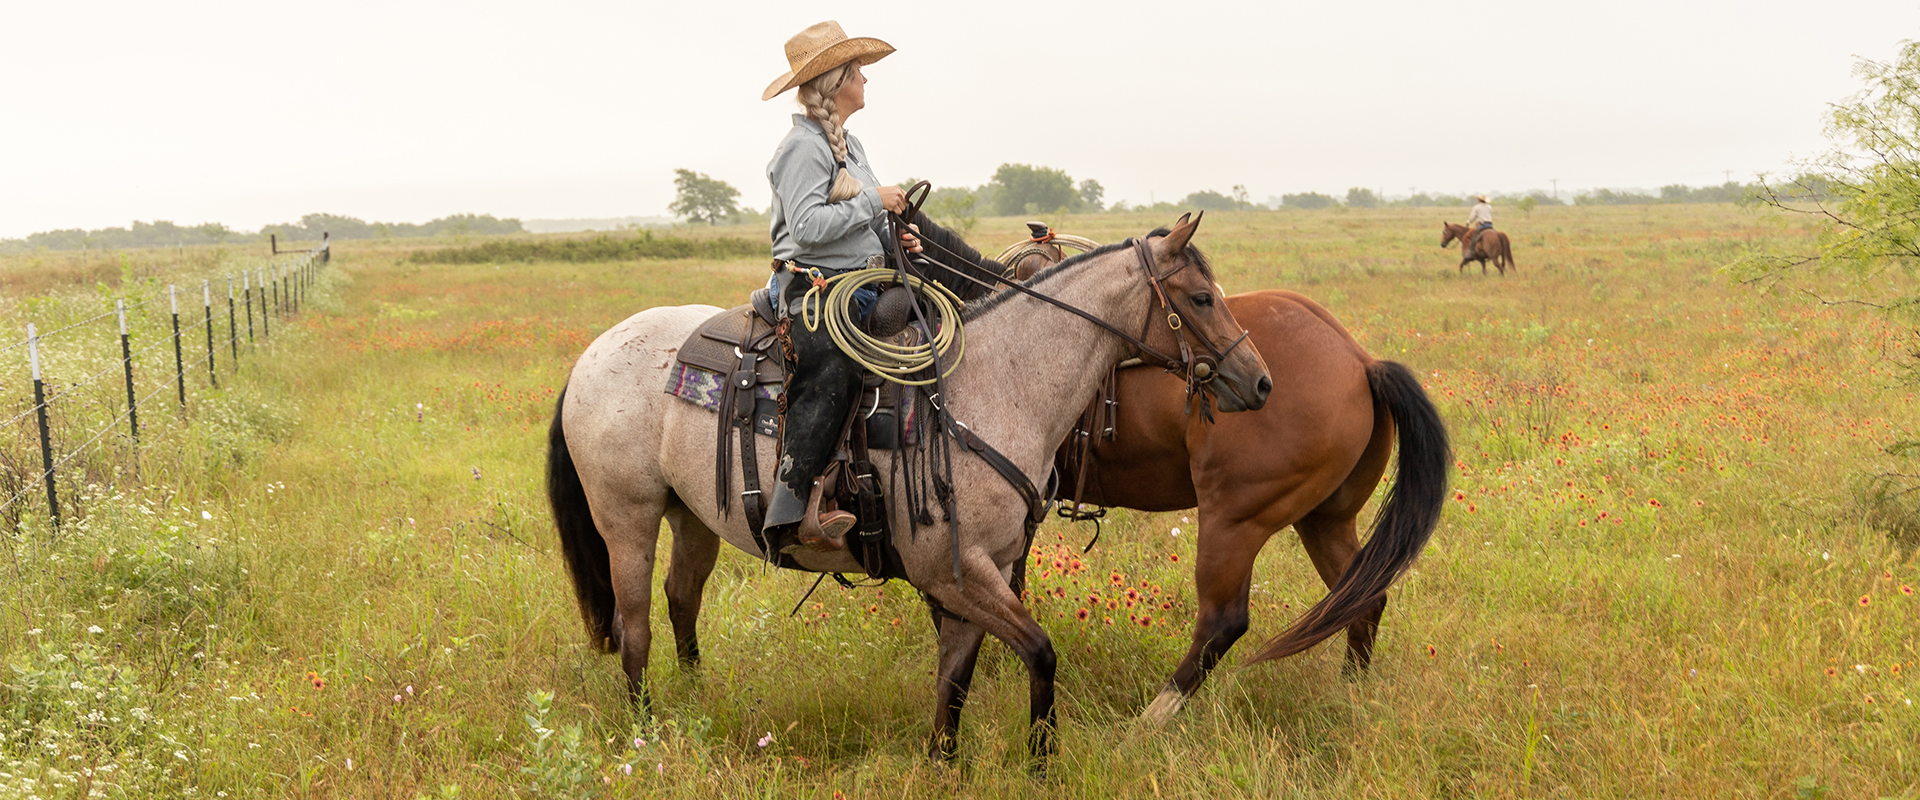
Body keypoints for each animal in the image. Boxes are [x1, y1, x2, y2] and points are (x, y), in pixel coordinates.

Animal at [549, 214, 1274, 763]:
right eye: (1202, 298)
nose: (1260, 380)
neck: (996, 384)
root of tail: (591, 355)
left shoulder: (985, 570)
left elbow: (955, 677)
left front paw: (943, 763)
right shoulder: (953, 570)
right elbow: (1039, 654)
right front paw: (1040, 761)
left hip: (693, 516)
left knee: (681, 600)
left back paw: (696, 697)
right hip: (627, 517)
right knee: (634, 626)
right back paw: (646, 732)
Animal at [1013, 241, 1443, 717]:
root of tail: (1360, 360)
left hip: (1234, 521)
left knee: (1223, 622)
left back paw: (1152, 718)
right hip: (1325, 522)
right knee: (1363, 597)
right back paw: (1350, 691)